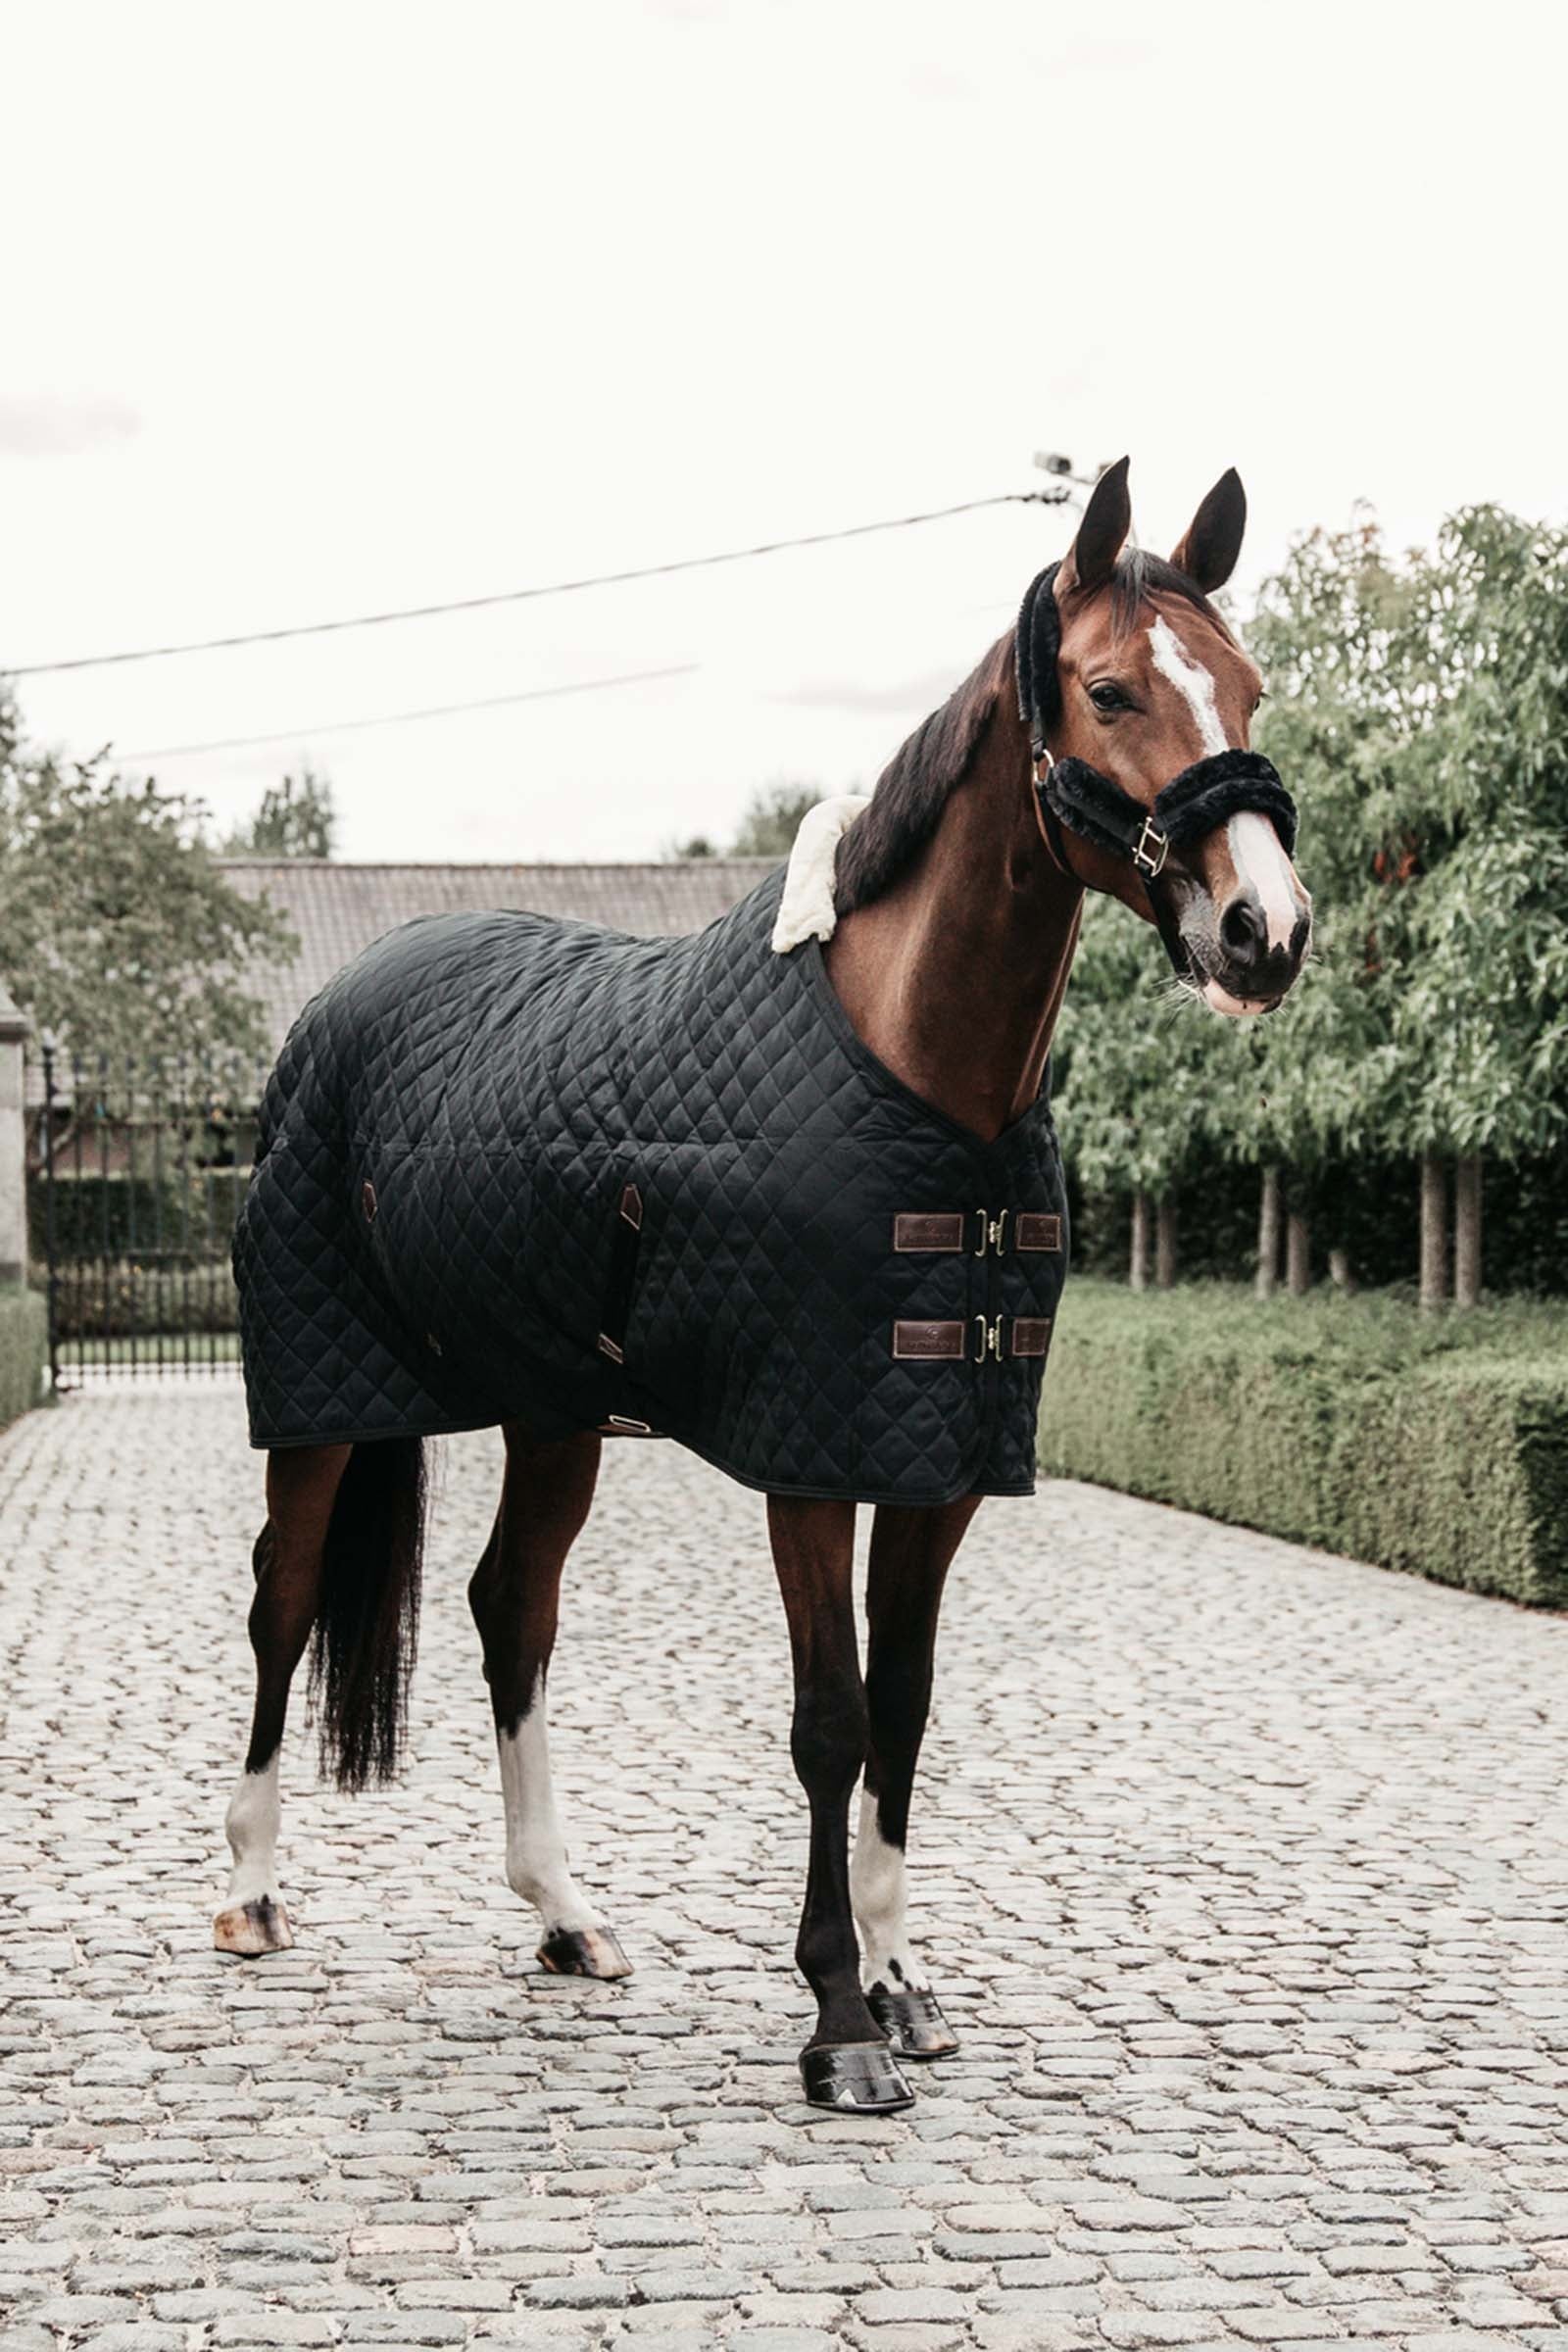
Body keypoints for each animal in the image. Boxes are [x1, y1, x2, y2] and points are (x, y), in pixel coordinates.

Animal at [216, 458, 1311, 2115]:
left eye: (1244, 685)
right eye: (1114, 688)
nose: (1267, 931)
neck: (922, 1071)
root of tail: (344, 1003)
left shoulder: (938, 1462)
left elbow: (906, 1710)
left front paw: (904, 1985)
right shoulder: (814, 1456)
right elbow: (832, 1717)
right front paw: (839, 2022)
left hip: (551, 1414)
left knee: (508, 1607)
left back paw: (565, 1916)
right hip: (324, 1398)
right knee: (284, 1600)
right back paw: (254, 1894)